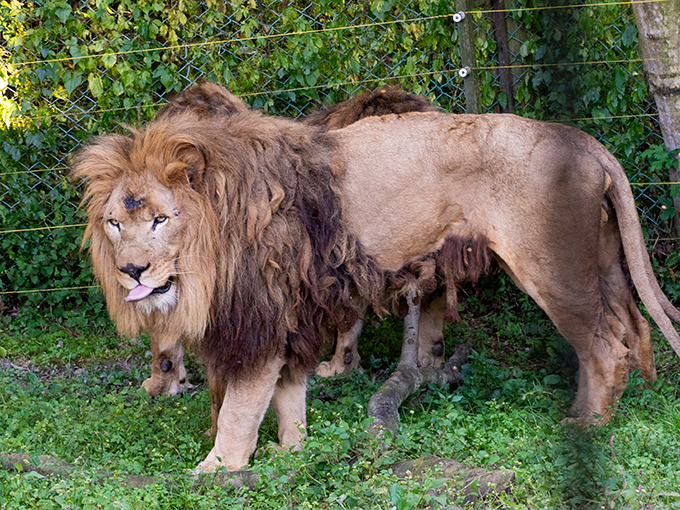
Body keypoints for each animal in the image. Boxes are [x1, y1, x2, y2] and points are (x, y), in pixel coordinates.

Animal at [70, 89, 680, 472]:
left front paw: (217, 468)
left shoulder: (261, 319)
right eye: (115, 223)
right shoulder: (294, 314)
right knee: (630, 331)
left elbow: (240, 406)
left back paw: (586, 427)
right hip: (600, 262)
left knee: (607, 347)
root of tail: (588, 143)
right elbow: (286, 391)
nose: (132, 269)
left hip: (554, 268)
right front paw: (291, 450)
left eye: (159, 219)